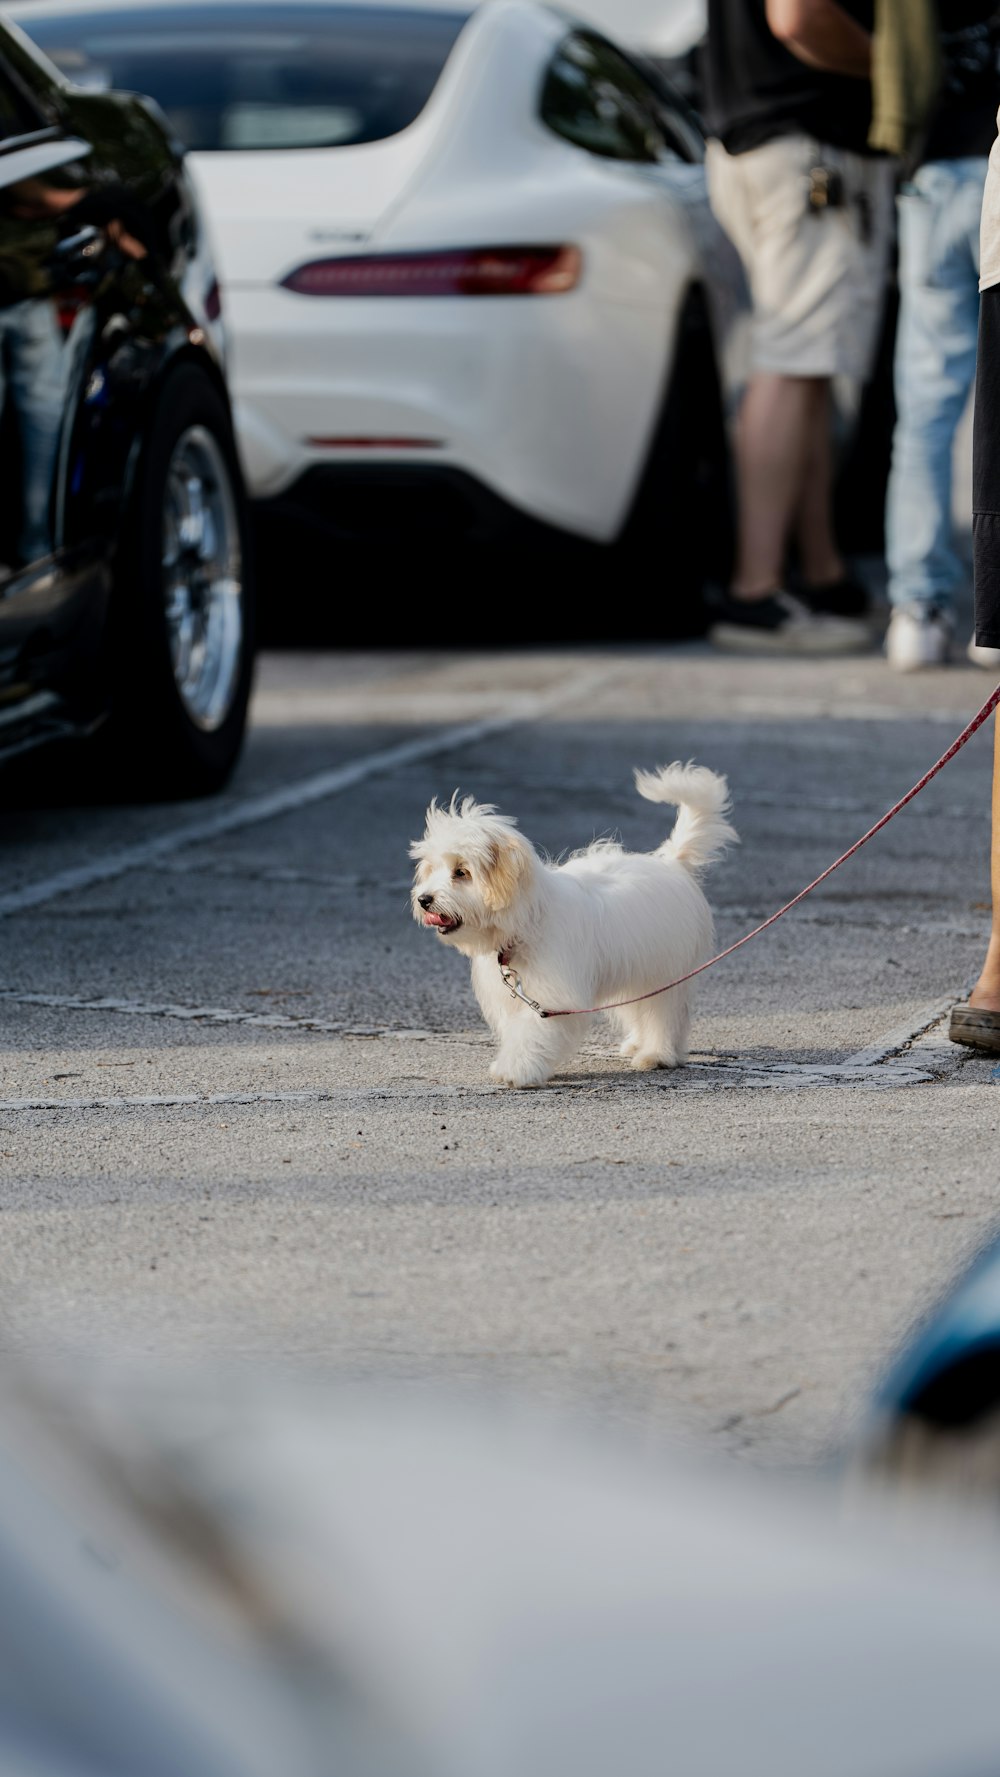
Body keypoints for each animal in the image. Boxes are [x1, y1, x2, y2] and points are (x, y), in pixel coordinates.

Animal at [410, 771, 738, 1087]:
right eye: (432, 869)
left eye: (461, 872)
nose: (424, 899)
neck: (530, 920)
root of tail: (673, 863)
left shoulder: (552, 996)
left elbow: (532, 1032)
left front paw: (515, 1070)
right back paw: (637, 1044)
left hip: (665, 969)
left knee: (664, 1013)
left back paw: (657, 1054)